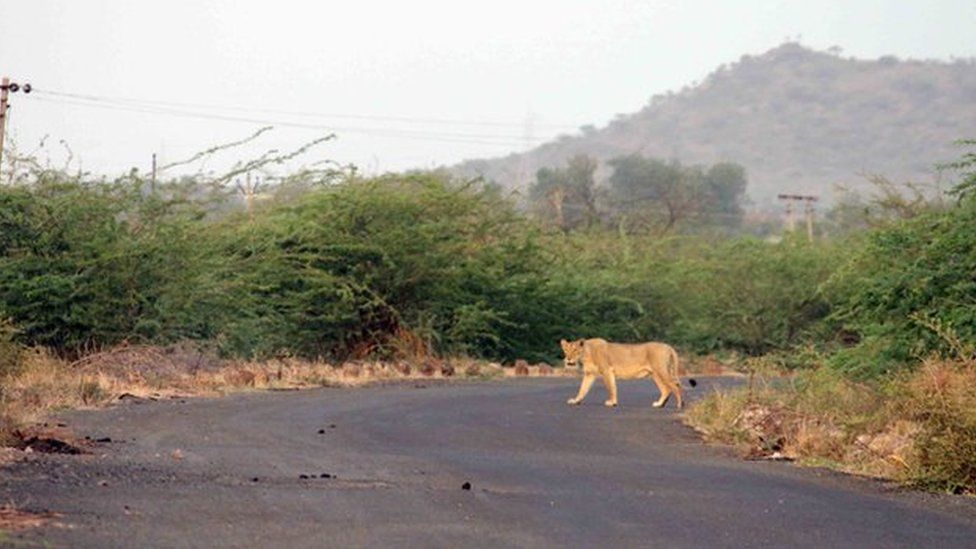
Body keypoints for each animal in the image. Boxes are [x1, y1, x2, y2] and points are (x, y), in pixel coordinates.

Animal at [556, 336, 692, 408]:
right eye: (566, 350)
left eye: (575, 350)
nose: (568, 359)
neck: (586, 354)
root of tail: (668, 346)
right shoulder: (590, 374)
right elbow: (583, 389)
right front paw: (576, 401)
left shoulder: (607, 370)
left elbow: (611, 387)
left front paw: (612, 402)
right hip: (655, 374)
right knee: (666, 389)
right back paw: (659, 404)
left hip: (661, 370)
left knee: (675, 386)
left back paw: (680, 404)